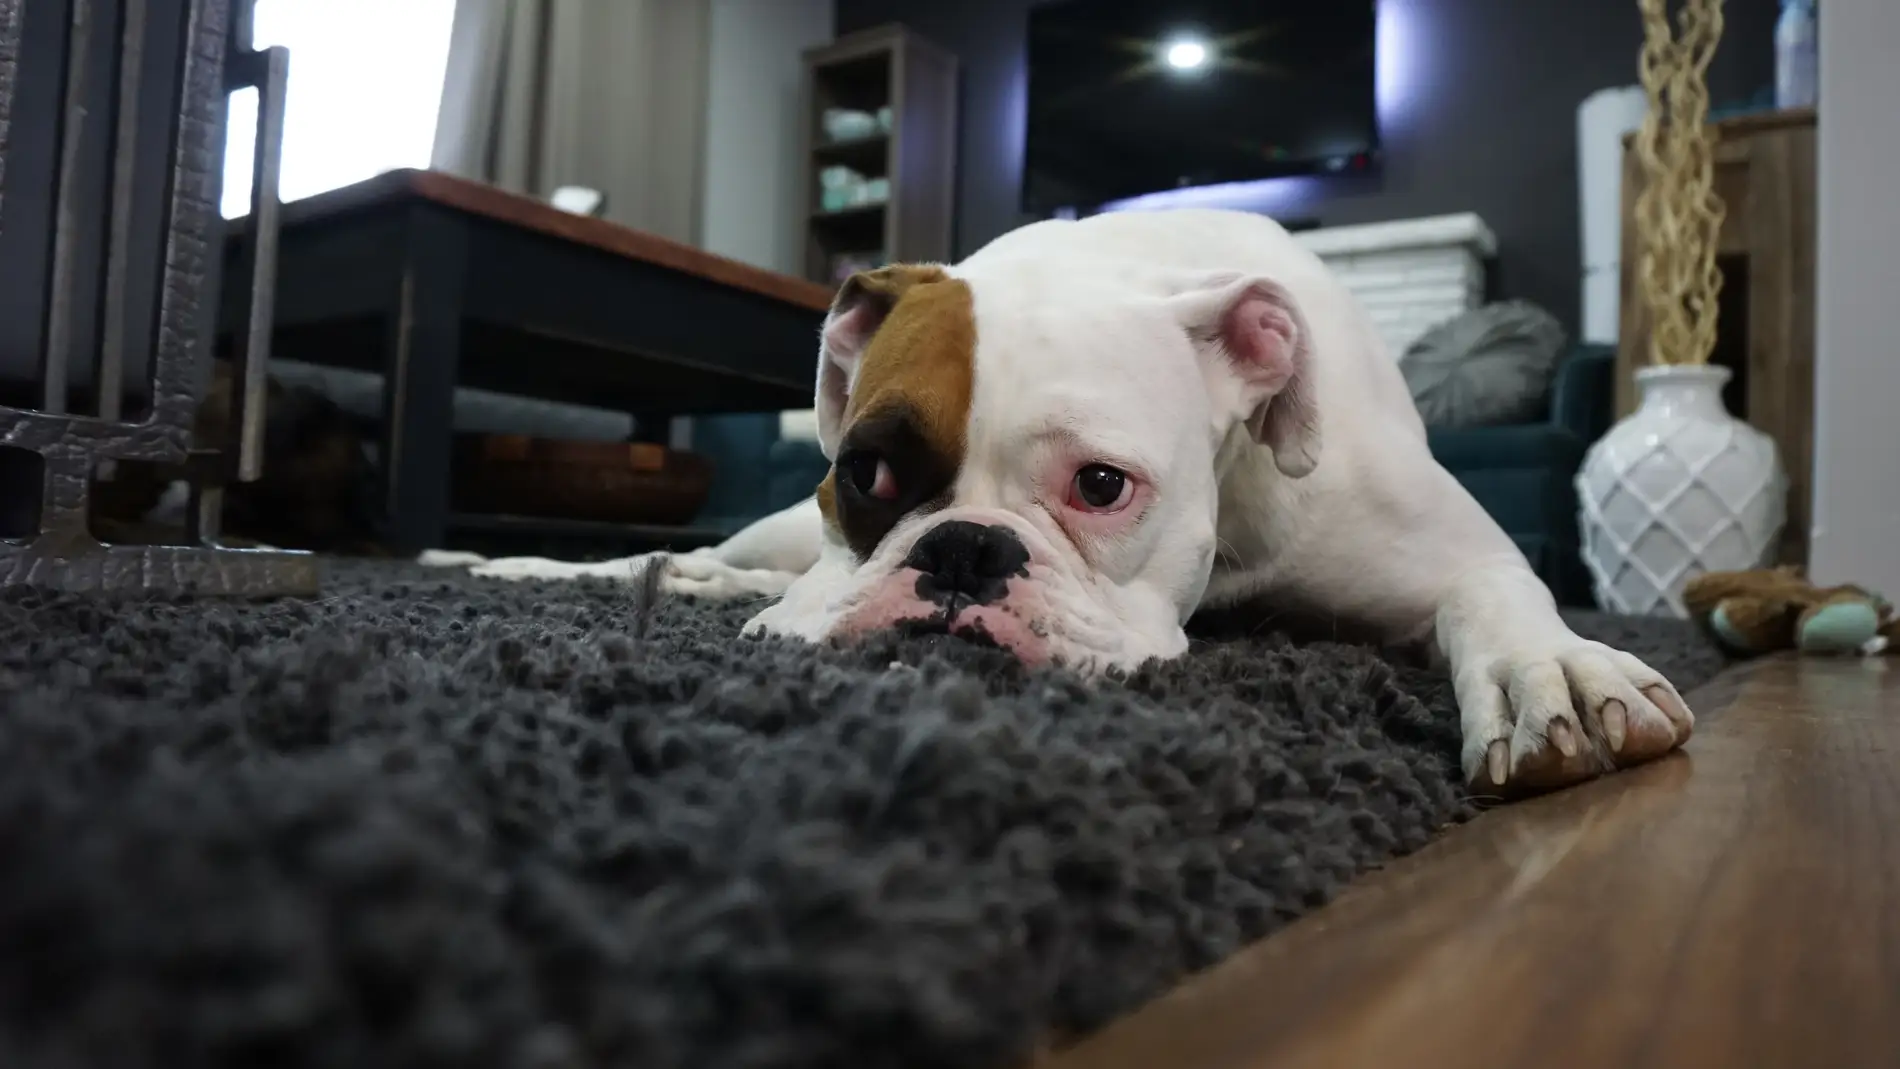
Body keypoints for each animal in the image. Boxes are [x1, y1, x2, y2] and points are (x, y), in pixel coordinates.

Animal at [431, 211, 1694, 793]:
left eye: (1099, 486)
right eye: (868, 473)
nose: (963, 553)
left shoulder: (1458, 550)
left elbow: (1499, 599)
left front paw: (1552, 672)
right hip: (779, 526)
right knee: (725, 560)